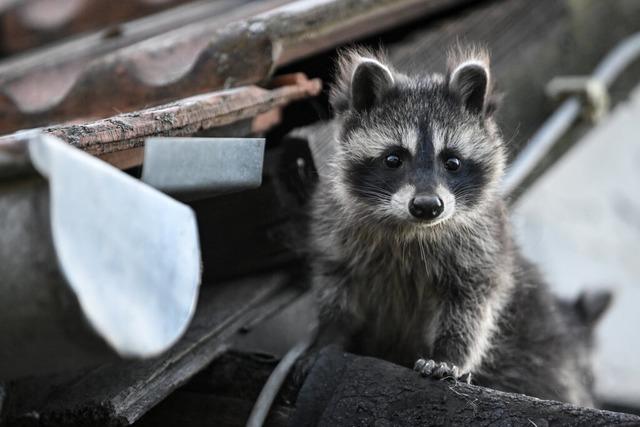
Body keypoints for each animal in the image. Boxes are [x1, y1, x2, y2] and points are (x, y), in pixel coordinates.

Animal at [310, 46, 608, 408]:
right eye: (393, 159)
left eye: (452, 162)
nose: (427, 206)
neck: (413, 230)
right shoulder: (336, 232)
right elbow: (337, 290)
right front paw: (329, 336)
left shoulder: (485, 245)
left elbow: (470, 306)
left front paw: (449, 355)